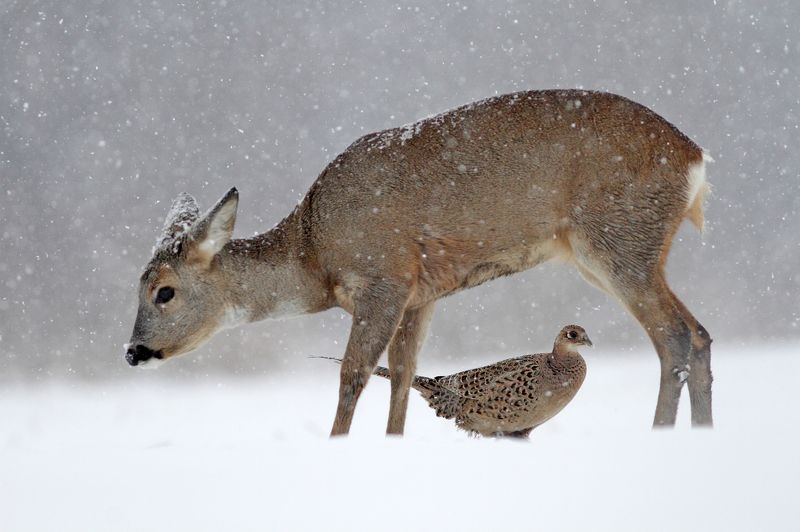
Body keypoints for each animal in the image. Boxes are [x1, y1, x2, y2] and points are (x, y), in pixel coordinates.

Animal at [125, 89, 713, 435]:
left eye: (163, 291)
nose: (132, 351)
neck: (315, 254)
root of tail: (695, 158)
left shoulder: (382, 278)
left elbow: (353, 374)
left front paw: (338, 445)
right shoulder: (421, 293)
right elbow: (404, 374)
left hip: (619, 238)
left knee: (673, 337)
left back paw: (659, 436)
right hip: (609, 251)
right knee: (699, 333)